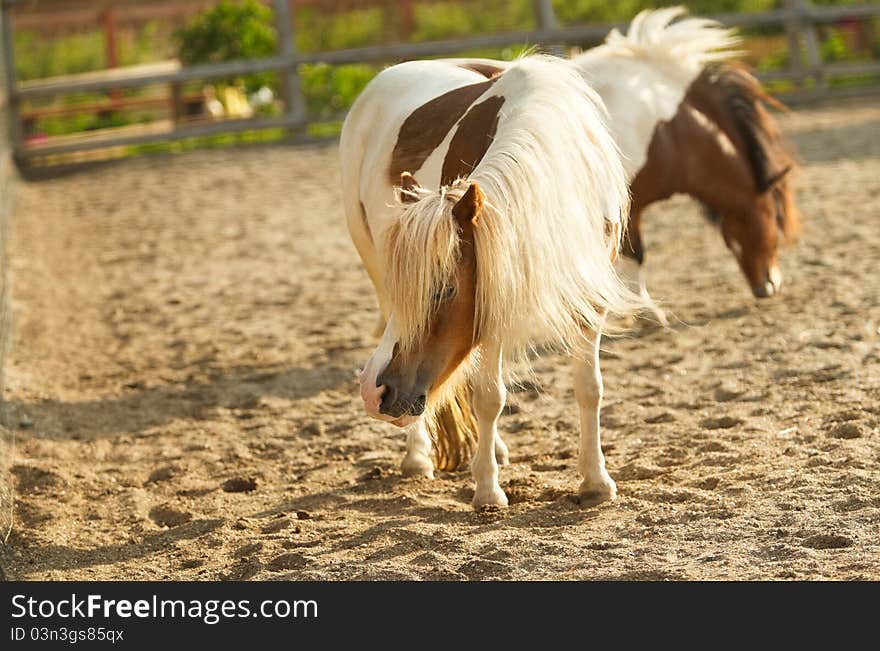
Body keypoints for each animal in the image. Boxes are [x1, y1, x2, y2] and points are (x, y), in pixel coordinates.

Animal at [338, 54, 640, 510]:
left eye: (444, 290)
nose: (375, 394)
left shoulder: (589, 300)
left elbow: (589, 387)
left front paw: (595, 481)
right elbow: (489, 396)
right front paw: (487, 489)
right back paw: (420, 456)